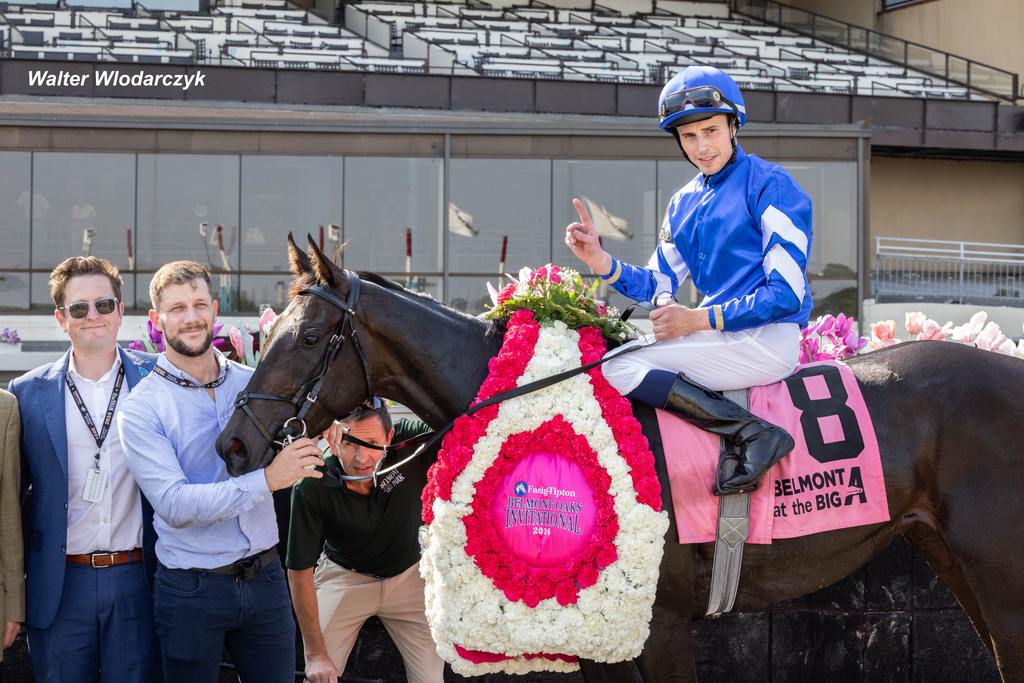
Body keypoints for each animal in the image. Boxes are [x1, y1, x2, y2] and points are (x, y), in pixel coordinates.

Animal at [216, 236, 1024, 683]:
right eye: (271, 331)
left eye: (309, 336)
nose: (233, 443)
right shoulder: (601, 636)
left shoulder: (661, 624)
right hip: (954, 559)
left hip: (998, 574)